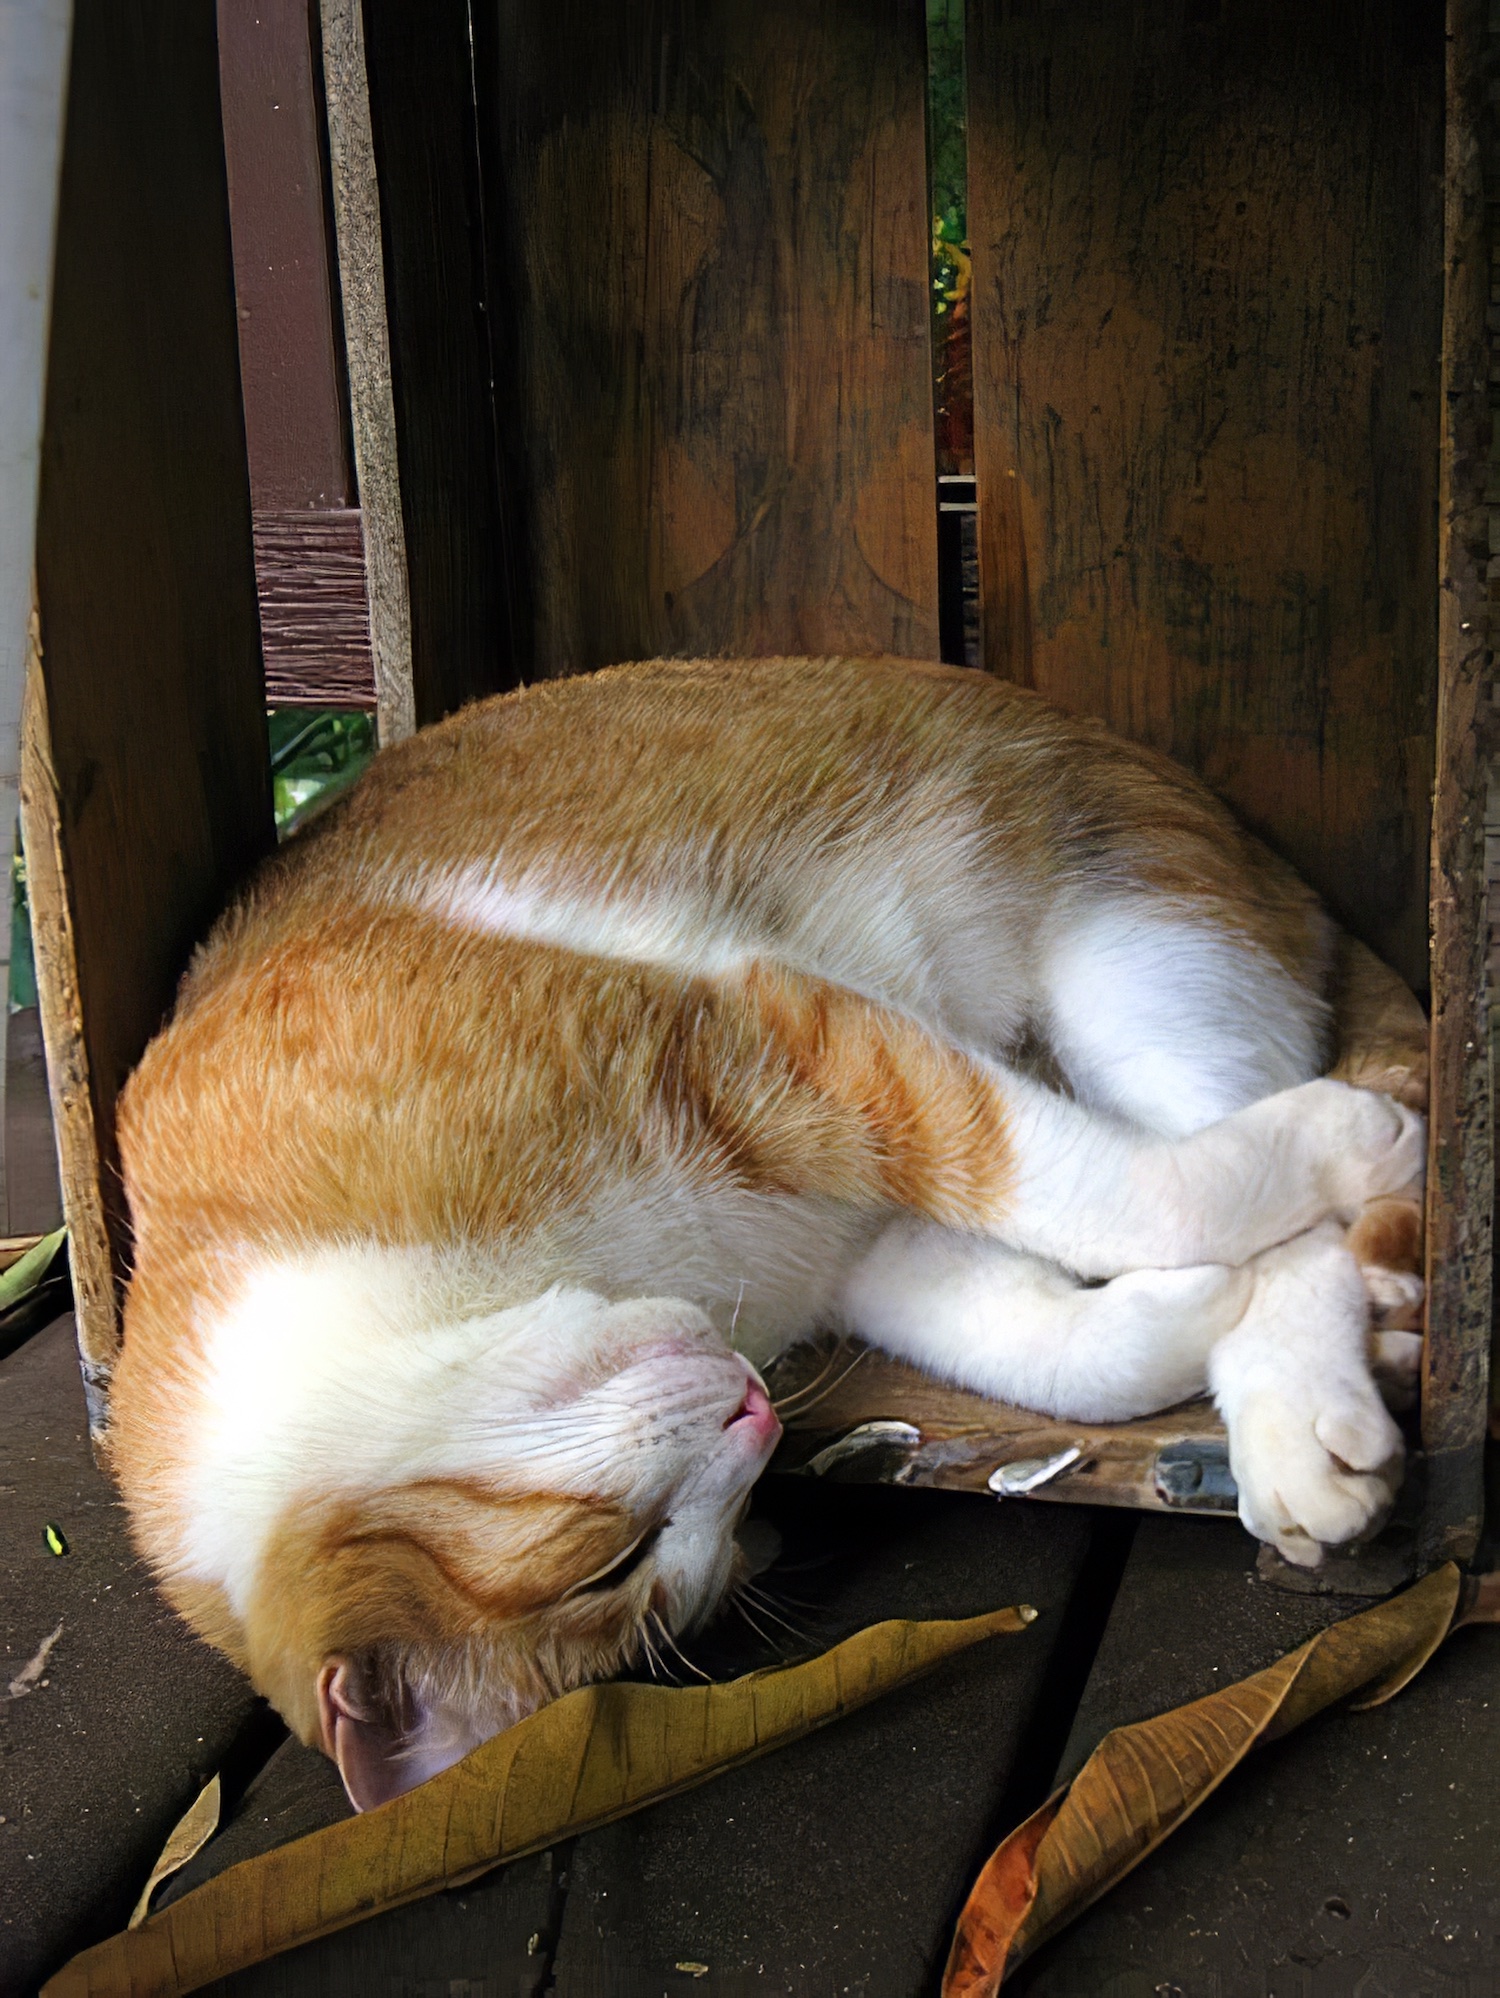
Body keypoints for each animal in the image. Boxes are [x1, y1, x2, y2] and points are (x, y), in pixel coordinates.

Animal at [107, 656, 1425, 1810]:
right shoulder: (858, 1250)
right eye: (684, 1564)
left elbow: (1109, 1187)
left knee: (1247, 1151)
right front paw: (1184, 1309)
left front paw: (1324, 1165)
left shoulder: (779, 1040)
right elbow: (1057, 1339)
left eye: (613, 1563)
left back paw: (1313, 1384)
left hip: (1138, 967)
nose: (757, 1417)